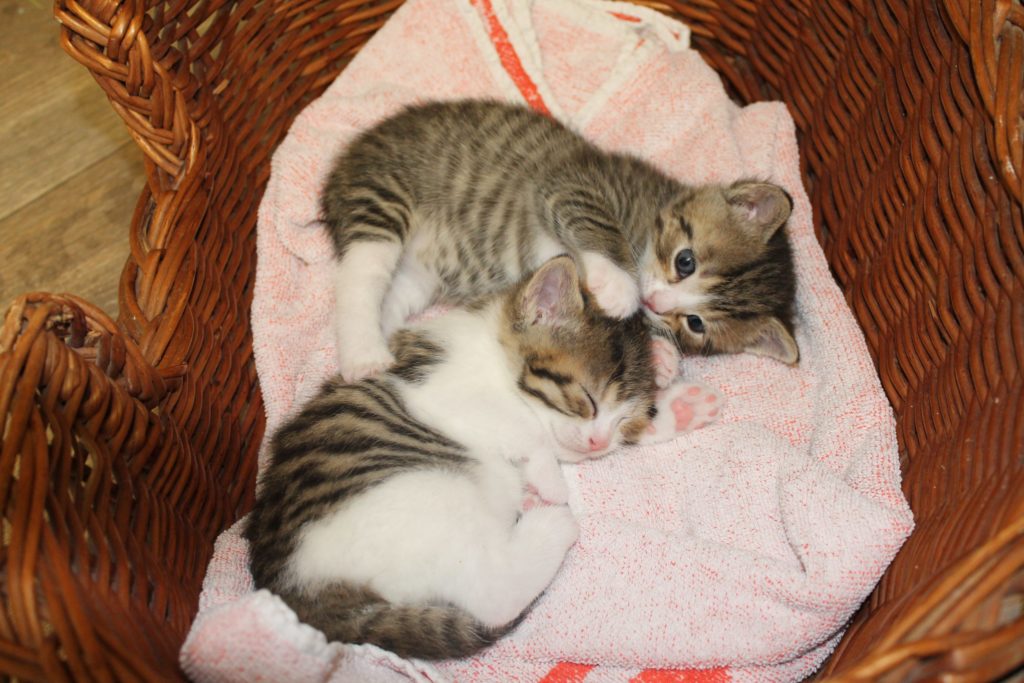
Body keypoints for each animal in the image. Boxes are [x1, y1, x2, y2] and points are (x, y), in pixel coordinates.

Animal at [244, 254, 720, 655]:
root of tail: (300, 598)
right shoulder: (444, 392)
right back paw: (551, 520)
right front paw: (552, 483)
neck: (493, 357)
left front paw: (679, 406)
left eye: (625, 422)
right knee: (491, 594)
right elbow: (528, 433)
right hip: (422, 493)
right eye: (586, 399)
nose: (599, 444)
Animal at [323, 100, 794, 385]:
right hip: (382, 195)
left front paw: (660, 354)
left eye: (696, 324)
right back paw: (364, 356)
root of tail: (345, 158)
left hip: (419, 277)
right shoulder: (569, 184)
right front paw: (620, 286)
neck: (648, 214)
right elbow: (597, 226)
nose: (656, 303)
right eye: (685, 262)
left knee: (389, 297)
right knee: (357, 278)